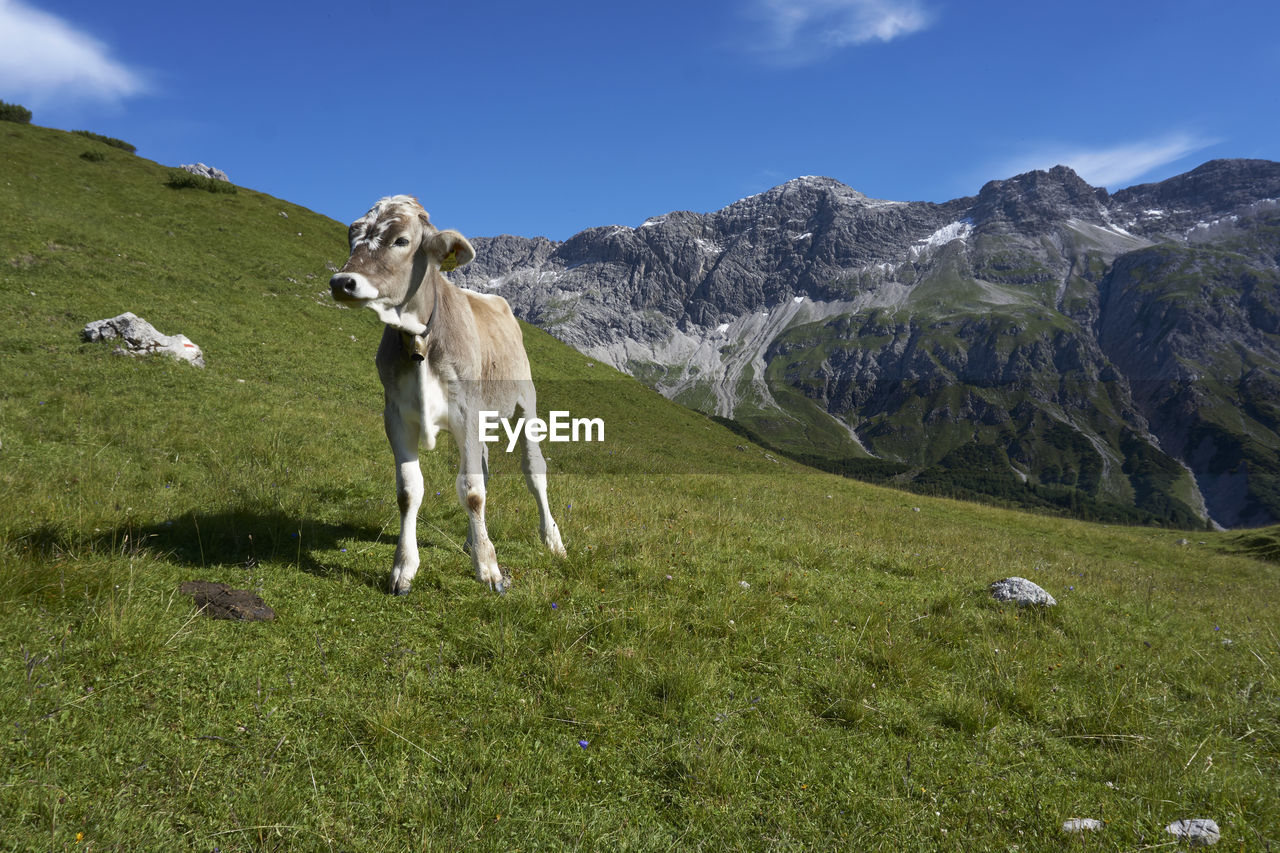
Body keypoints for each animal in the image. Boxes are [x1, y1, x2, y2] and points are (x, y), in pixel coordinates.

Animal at [330, 194, 565, 591]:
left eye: (401, 241)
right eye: (352, 236)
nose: (342, 282)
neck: (420, 341)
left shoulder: (466, 412)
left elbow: (471, 490)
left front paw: (488, 568)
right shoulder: (396, 415)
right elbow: (409, 491)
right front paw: (403, 568)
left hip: (525, 402)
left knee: (534, 470)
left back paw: (552, 541)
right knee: (483, 467)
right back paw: (473, 539)